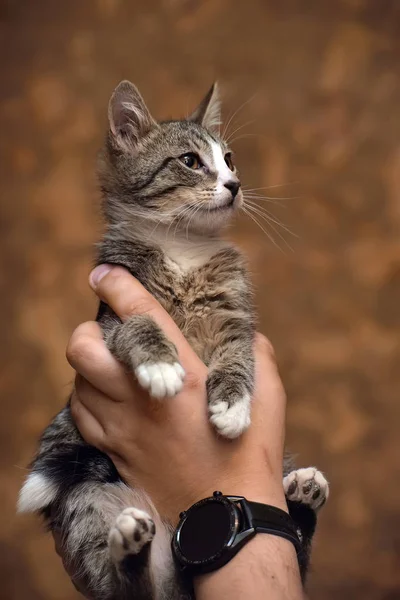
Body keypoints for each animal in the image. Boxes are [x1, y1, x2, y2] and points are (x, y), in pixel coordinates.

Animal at [18, 81, 328, 600]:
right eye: (189, 160)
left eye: (229, 158)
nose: (234, 184)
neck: (183, 247)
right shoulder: (111, 318)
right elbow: (141, 325)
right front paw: (161, 366)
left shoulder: (236, 318)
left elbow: (238, 357)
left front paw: (232, 405)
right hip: (86, 501)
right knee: (131, 588)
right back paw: (132, 545)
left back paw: (303, 493)